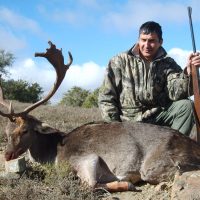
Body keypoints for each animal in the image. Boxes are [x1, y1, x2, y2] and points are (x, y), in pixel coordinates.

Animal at [1, 41, 200, 192]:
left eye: (25, 130)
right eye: (6, 131)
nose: (7, 154)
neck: (53, 153)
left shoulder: (86, 158)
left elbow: (91, 184)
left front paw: (127, 182)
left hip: (156, 165)